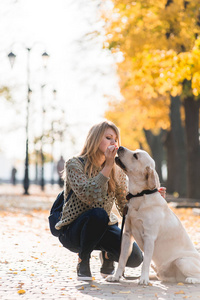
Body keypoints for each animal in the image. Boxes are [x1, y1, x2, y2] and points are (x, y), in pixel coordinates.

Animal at [107, 146, 200, 284]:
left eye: (136, 156)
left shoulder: (149, 237)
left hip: (182, 261)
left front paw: (143, 279)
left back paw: (191, 279)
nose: (121, 147)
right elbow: (121, 260)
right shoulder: (127, 234)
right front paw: (116, 276)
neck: (140, 196)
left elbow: (145, 262)